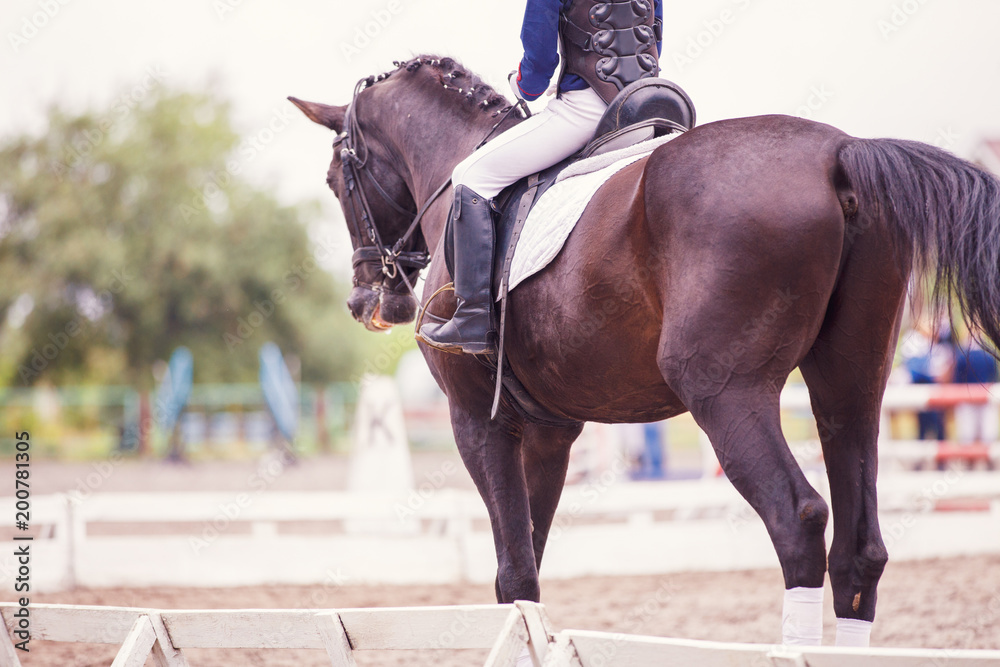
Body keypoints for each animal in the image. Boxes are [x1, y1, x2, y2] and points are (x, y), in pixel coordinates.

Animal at [290, 55, 1000, 644]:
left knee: (796, 520)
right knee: (860, 549)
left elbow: (513, 574)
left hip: (725, 393)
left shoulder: (477, 422)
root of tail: (838, 153)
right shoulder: (550, 432)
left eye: (334, 180)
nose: (367, 302)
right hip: (851, 385)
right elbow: (528, 562)